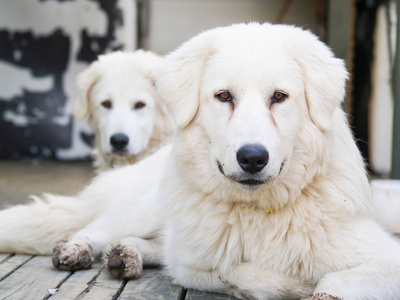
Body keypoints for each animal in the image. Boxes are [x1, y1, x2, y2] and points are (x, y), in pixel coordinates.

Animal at [0, 24, 400, 300]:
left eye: (279, 97)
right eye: (223, 96)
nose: (252, 157)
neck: (262, 212)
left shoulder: (386, 258)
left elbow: (337, 279)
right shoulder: (197, 262)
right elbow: (246, 273)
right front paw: (291, 284)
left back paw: (126, 256)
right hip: (144, 207)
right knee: (96, 228)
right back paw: (78, 250)